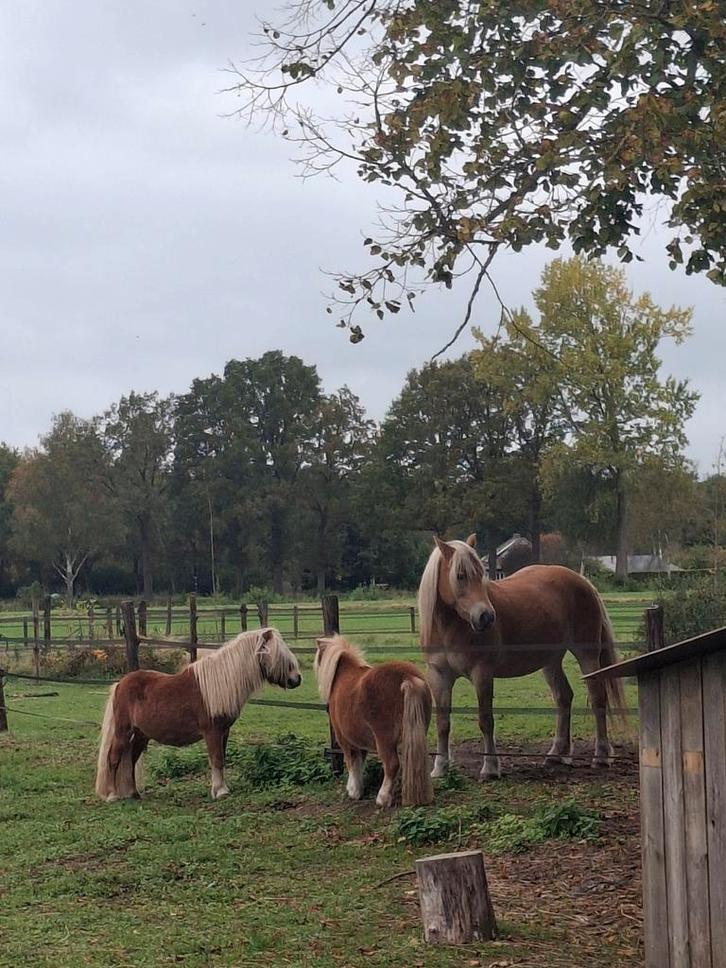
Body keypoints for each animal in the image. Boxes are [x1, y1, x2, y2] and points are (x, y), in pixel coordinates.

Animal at [95, 627, 301, 802]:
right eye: (279, 655)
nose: (297, 679)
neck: (220, 683)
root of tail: (120, 683)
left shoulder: (224, 732)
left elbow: (221, 760)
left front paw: (221, 788)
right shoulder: (212, 732)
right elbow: (216, 759)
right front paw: (220, 792)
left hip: (140, 735)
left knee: (130, 760)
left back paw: (133, 793)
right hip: (124, 732)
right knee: (113, 758)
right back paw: (112, 795)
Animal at [314, 635, 433, 808]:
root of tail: (408, 678)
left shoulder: (345, 739)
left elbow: (352, 762)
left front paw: (353, 791)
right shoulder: (359, 738)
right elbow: (360, 762)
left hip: (384, 739)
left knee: (392, 764)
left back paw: (382, 798)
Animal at [418, 535, 624, 780]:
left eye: (481, 573)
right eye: (460, 575)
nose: (486, 617)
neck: (451, 627)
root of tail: (583, 581)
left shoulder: (482, 673)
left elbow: (486, 720)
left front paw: (490, 768)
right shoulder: (438, 676)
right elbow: (442, 723)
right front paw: (440, 767)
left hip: (587, 655)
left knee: (597, 698)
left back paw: (601, 756)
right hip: (551, 661)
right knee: (564, 697)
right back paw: (556, 754)